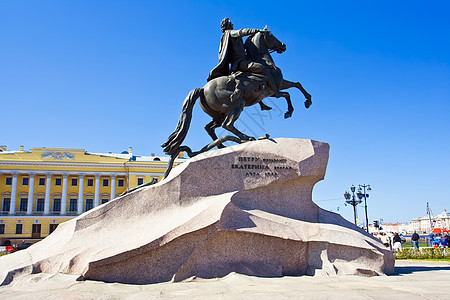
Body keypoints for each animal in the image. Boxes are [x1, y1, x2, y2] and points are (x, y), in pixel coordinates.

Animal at [162, 31, 312, 156]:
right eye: (271, 35)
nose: (283, 46)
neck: (264, 62)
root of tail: (203, 89)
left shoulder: (275, 89)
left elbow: (295, 86)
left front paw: (300, 104)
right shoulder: (277, 87)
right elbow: (289, 91)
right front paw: (297, 107)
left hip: (219, 114)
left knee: (209, 128)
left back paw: (221, 146)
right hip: (237, 105)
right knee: (227, 125)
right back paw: (246, 138)